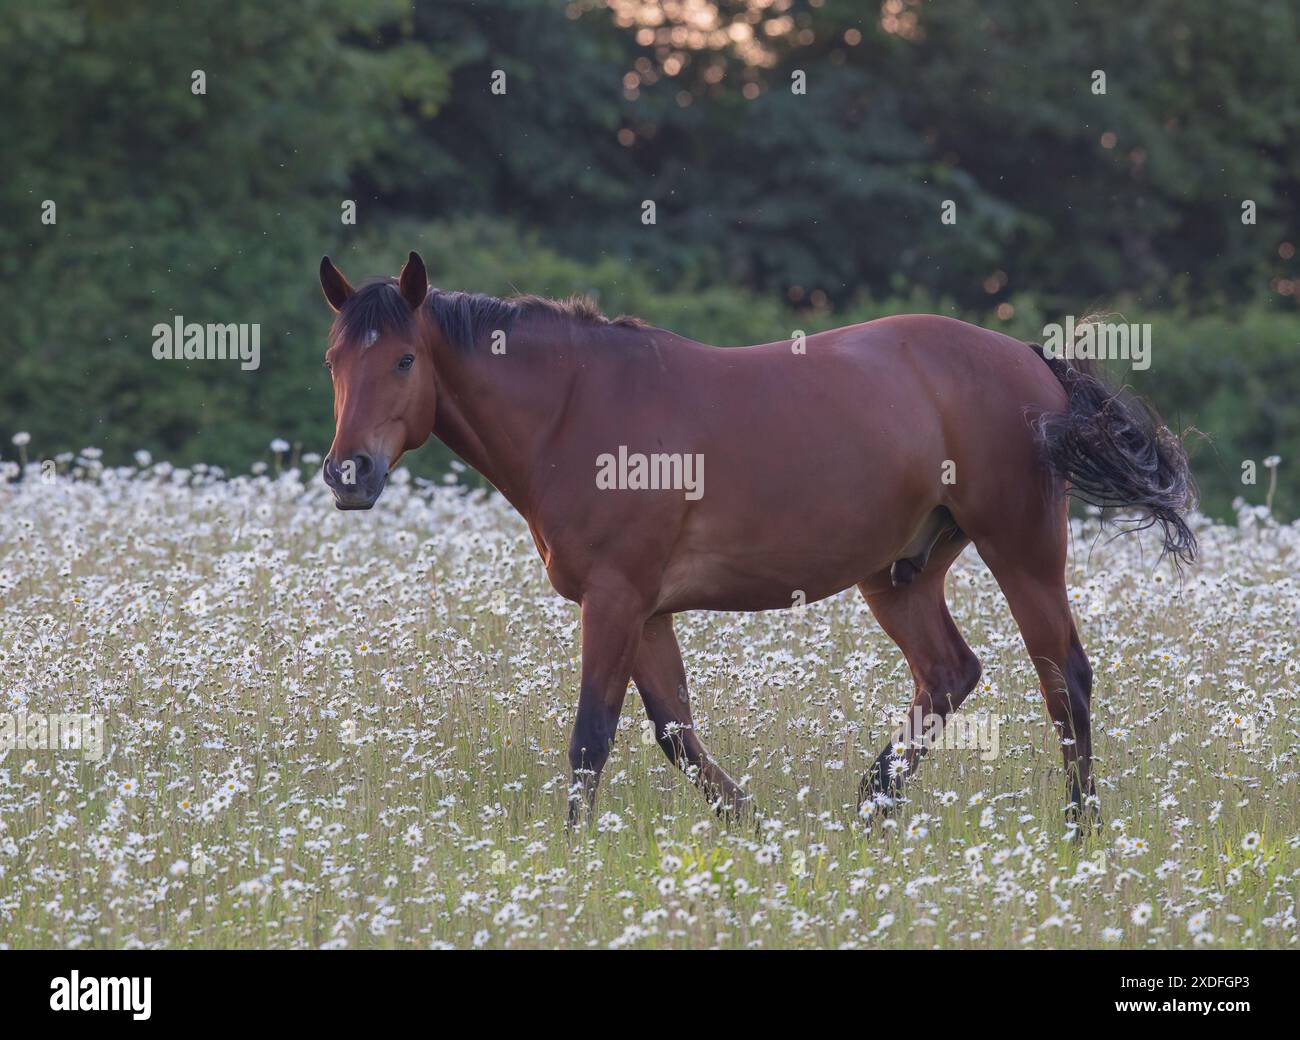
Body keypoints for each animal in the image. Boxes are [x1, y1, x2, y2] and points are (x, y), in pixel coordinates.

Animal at [317, 252, 1196, 826]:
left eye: (404, 359)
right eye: (333, 360)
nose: (348, 473)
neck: (574, 409)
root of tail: (1029, 357)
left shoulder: (615, 600)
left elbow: (591, 737)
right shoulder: (647, 612)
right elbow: (673, 732)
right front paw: (748, 820)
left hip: (1022, 551)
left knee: (1065, 681)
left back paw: (1079, 829)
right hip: (901, 574)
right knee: (950, 673)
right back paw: (872, 803)